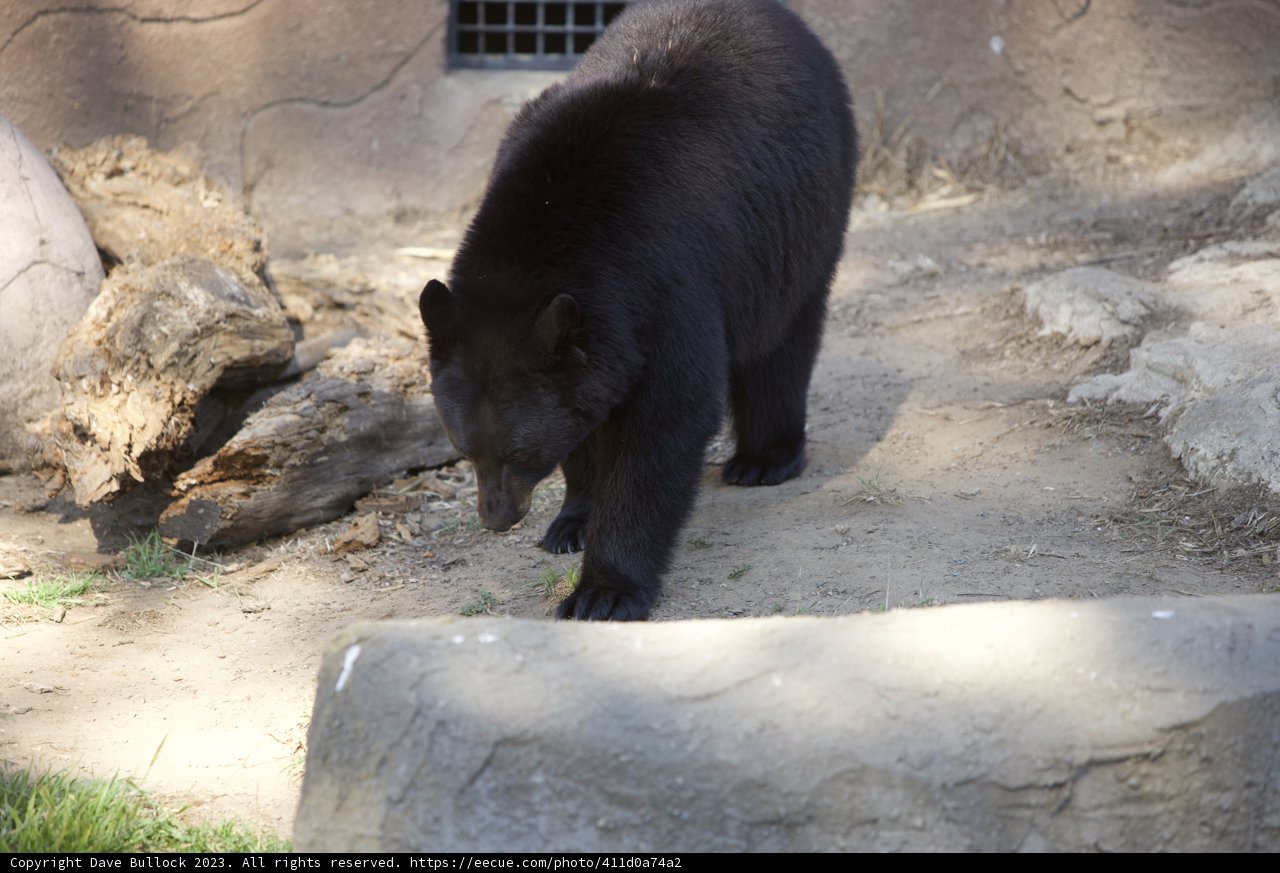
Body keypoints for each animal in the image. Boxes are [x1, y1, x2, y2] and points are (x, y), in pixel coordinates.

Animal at [419, 0, 856, 621]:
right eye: (462, 449)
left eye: (520, 450)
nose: (497, 518)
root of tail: (780, 16)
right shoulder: (592, 336)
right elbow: (584, 418)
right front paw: (572, 520)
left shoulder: (663, 280)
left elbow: (665, 422)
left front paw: (602, 591)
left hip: (802, 209)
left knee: (782, 339)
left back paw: (765, 458)